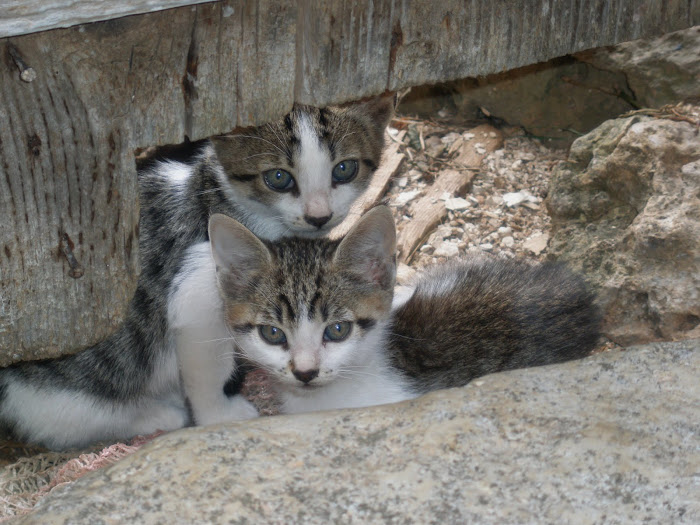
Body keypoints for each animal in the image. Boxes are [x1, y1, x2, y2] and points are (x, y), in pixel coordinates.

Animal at [0, 96, 394, 448]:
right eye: (279, 178)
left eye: (344, 169)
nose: (318, 216)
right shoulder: (197, 287)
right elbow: (207, 365)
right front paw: (220, 417)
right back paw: (155, 415)